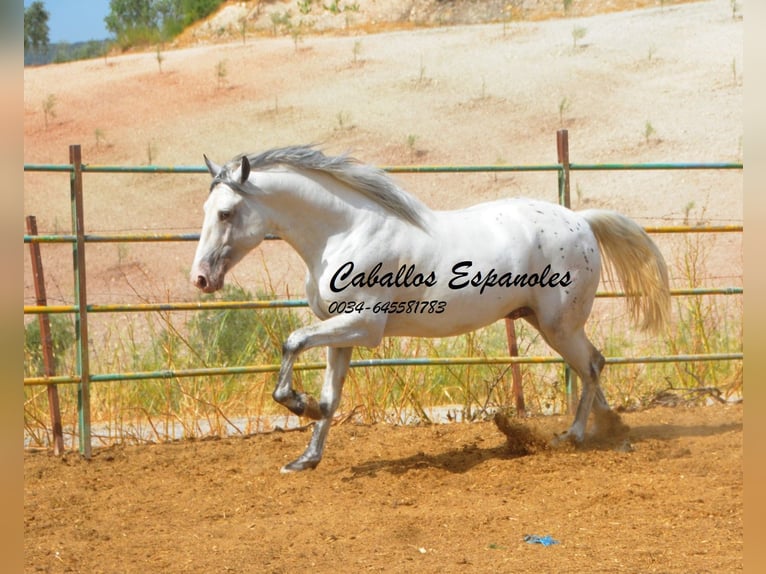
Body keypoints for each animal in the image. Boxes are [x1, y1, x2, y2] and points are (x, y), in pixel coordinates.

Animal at [191, 145, 670, 473]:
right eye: (206, 209)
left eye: (227, 213)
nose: (200, 279)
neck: (346, 232)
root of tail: (581, 221)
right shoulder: (338, 330)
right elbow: (330, 398)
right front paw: (305, 458)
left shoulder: (363, 326)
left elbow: (292, 343)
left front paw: (296, 403)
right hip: (548, 323)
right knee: (595, 363)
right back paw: (612, 430)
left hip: (559, 326)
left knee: (589, 366)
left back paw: (572, 436)